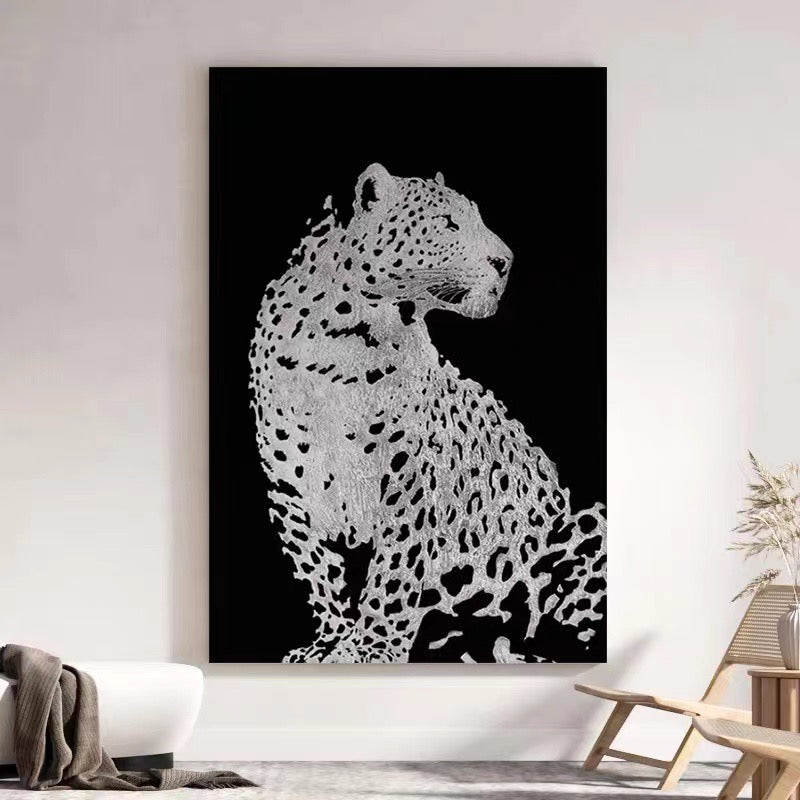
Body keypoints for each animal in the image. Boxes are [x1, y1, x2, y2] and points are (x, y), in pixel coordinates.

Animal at [249, 163, 607, 663]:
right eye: (448, 223)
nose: (506, 261)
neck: (342, 343)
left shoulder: (411, 479)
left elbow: (392, 575)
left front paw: (372, 649)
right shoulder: (288, 487)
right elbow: (318, 570)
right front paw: (329, 642)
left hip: (585, 525)